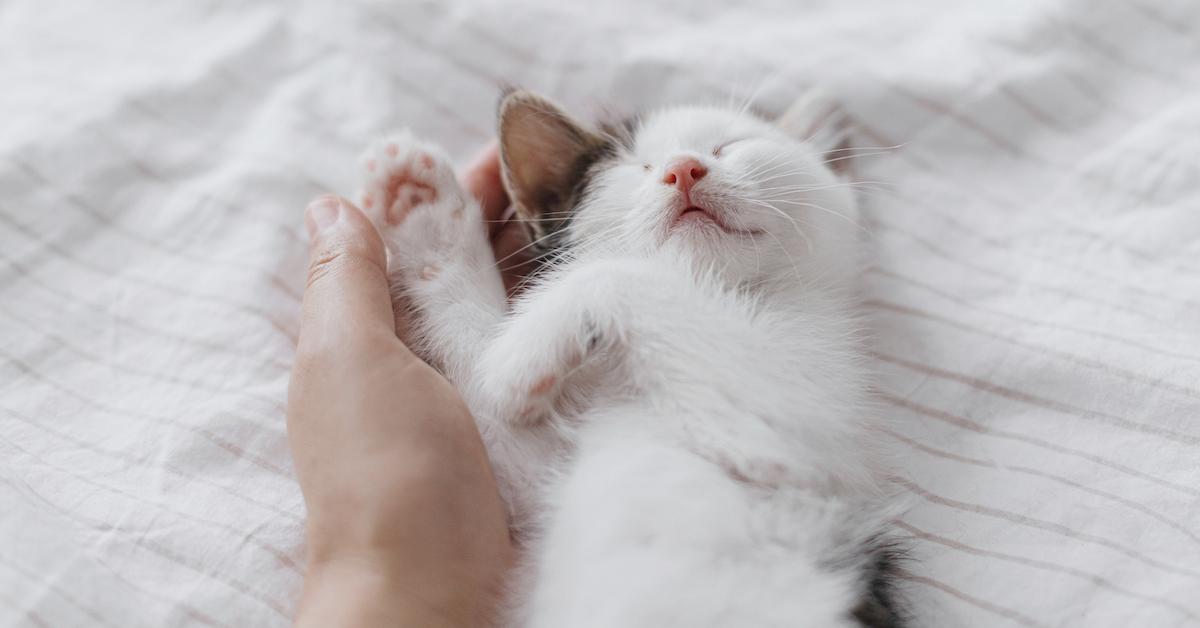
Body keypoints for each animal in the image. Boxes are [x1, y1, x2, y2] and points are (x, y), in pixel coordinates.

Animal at [360, 89, 902, 628]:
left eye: (728, 145)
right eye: (637, 166)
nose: (683, 168)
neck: (712, 289)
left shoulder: (802, 432)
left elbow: (619, 274)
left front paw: (520, 353)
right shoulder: (541, 485)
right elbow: (498, 418)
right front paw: (422, 210)